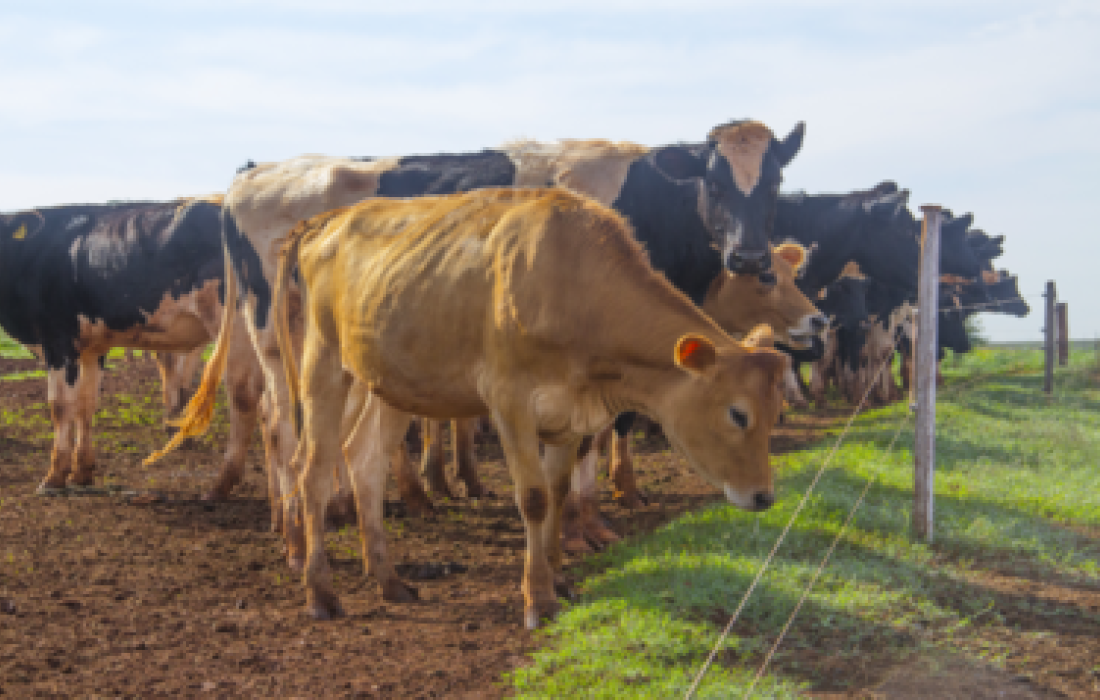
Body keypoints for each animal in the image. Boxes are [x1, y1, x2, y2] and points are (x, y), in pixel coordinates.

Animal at [0, 200, 263, 493]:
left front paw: (54, 477)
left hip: (234, 324)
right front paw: (82, 473)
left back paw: (223, 482)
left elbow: (60, 406)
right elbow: (86, 404)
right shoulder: (92, 348)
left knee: (244, 395)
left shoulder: (59, 341)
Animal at [272, 187, 789, 627]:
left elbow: (558, 491)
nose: (764, 497)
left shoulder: (570, 417)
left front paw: (559, 578)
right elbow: (535, 498)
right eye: (737, 413)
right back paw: (320, 593)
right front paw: (538, 599)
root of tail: (329, 219)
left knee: (364, 462)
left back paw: (390, 581)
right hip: (323, 360)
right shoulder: (510, 403)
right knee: (312, 470)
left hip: (393, 381)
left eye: (775, 411)